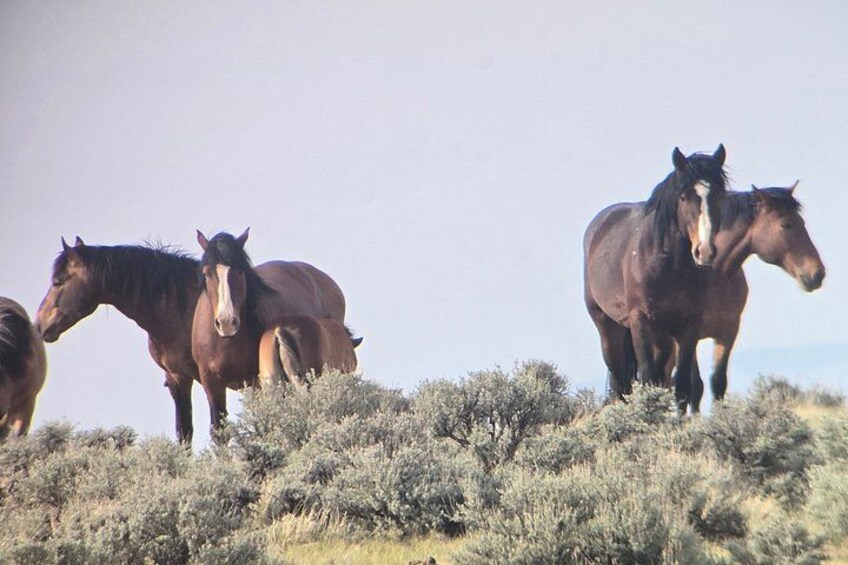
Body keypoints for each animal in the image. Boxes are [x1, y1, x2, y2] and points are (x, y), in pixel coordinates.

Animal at [193, 229, 348, 435]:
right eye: (206, 273)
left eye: (240, 270)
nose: (226, 322)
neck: (226, 341)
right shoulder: (211, 382)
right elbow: (219, 431)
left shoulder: (256, 381)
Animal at [583, 145, 728, 412]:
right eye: (684, 196)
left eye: (720, 195)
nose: (704, 251)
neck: (670, 267)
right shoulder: (640, 321)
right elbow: (647, 379)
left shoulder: (689, 324)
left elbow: (681, 386)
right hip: (608, 326)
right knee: (621, 382)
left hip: (663, 336)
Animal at [683, 182, 825, 411]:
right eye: (786, 225)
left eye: (802, 222)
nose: (817, 274)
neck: (713, 278)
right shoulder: (689, 335)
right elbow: (695, 387)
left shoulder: (728, 332)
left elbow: (718, 383)